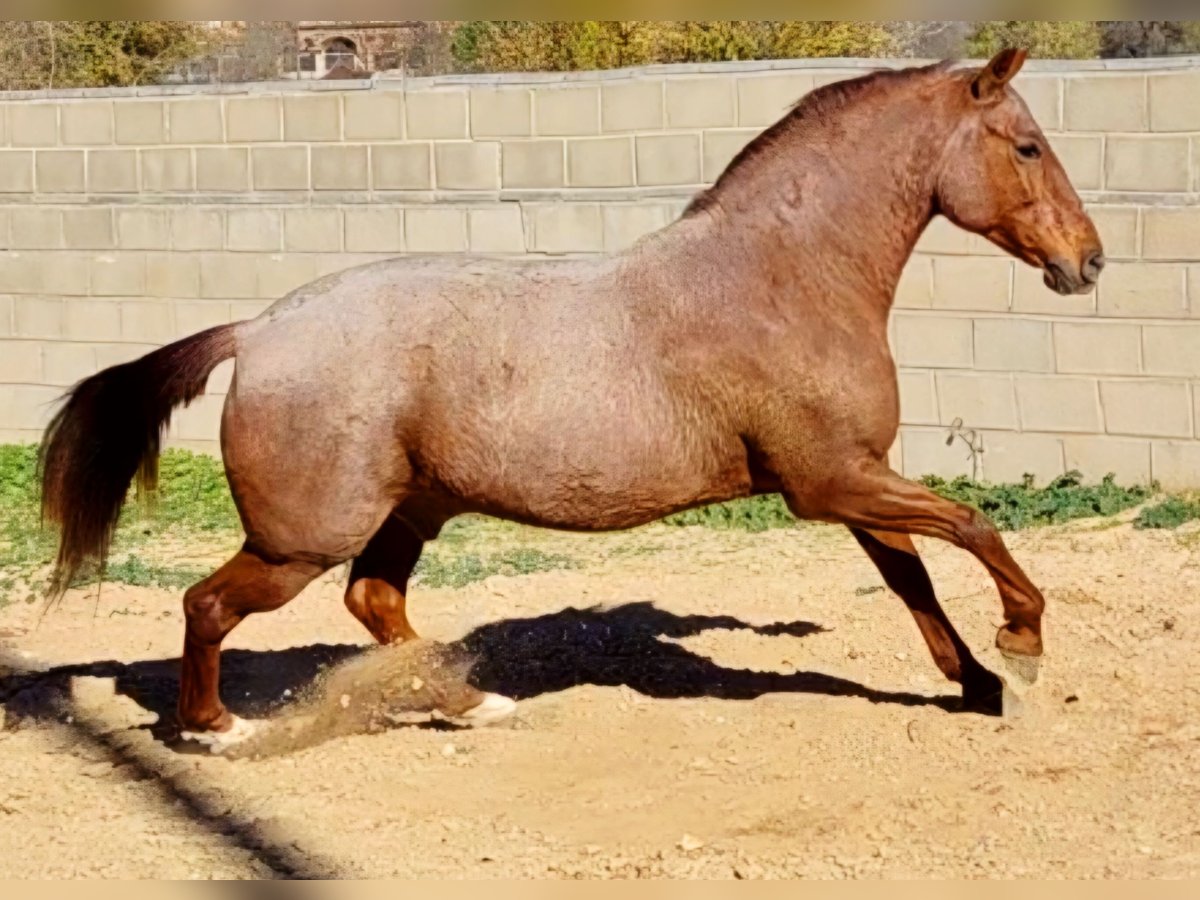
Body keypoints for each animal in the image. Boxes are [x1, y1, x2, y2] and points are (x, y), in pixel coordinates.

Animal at [39, 51, 1104, 753]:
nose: (1087, 262)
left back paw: (472, 704)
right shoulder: (831, 482)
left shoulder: (855, 482)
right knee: (210, 603)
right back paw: (216, 729)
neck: (780, 280)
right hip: (301, 539)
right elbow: (974, 526)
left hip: (406, 513)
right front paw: (1021, 647)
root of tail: (257, 331)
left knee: (373, 599)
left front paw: (979, 684)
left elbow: (913, 577)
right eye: (1026, 146)